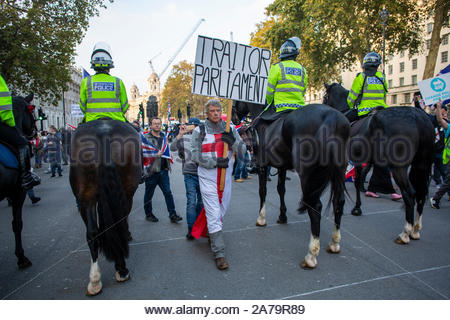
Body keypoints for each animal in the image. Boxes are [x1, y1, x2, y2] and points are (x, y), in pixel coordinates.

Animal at [69, 119, 141, 296]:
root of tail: (103, 133)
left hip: (88, 195)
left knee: (93, 232)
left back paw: (100, 278)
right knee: (102, 229)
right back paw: (113, 272)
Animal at [234, 101, 350, 268]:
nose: (234, 118)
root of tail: (332, 117)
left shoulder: (263, 166)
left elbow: (263, 191)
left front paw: (261, 219)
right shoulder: (282, 167)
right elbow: (281, 190)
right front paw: (282, 216)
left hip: (308, 174)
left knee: (315, 206)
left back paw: (311, 255)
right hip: (339, 170)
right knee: (338, 201)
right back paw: (334, 243)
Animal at [324, 82, 436, 242]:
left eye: (325, 96)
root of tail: (419, 118)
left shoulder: (353, 161)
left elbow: (357, 182)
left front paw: (356, 208)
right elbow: (358, 180)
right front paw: (358, 206)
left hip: (399, 167)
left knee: (410, 194)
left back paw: (405, 233)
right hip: (422, 163)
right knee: (421, 193)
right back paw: (415, 230)